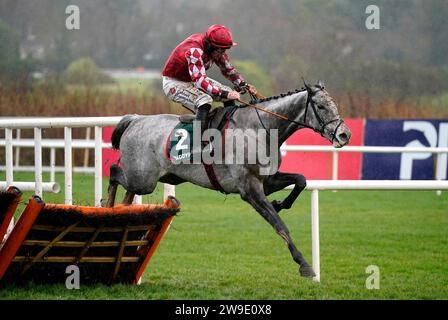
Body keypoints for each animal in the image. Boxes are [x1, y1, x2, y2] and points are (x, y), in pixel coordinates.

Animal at [105, 80, 350, 278]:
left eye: (334, 105)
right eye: (321, 107)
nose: (344, 134)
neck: (258, 130)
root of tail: (135, 120)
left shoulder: (267, 181)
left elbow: (300, 180)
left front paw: (281, 203)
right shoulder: (249, 189)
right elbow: (279, 224)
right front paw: (304, 264)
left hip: (156, 178)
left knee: (127, 191)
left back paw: (120, 217)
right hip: (143, 179)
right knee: (115, 171)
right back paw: (107, 207)